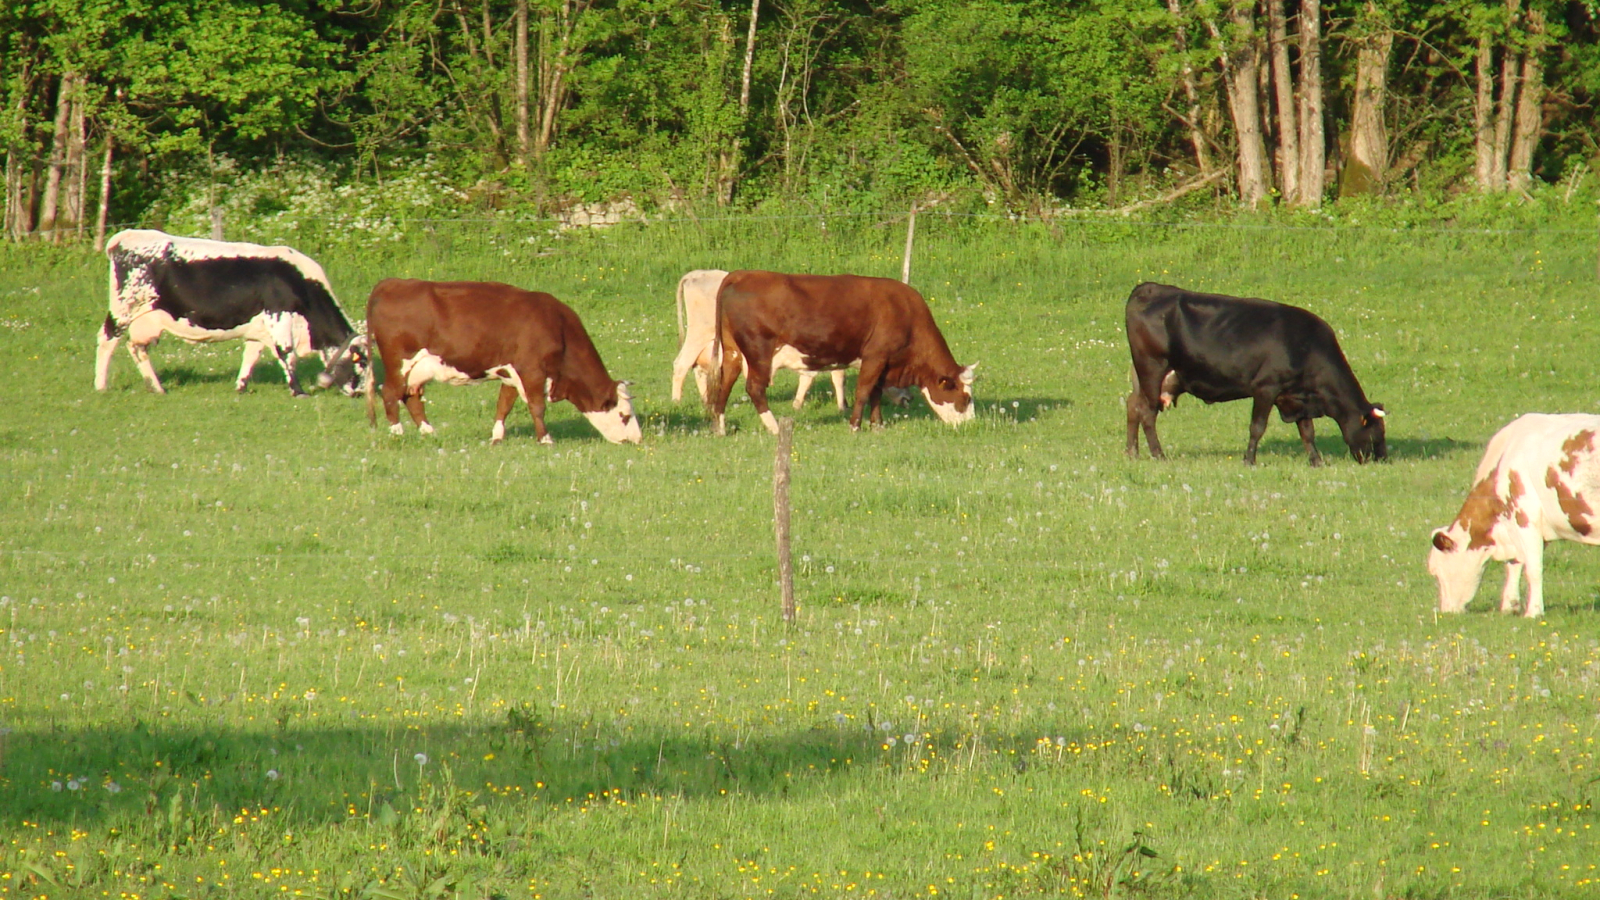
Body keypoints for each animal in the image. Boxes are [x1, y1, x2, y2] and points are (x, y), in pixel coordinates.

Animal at [96, 225, 366, 393]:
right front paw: (298, 391)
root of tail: (126, 235)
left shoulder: (258, 327)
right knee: (107, 339)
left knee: (136, 347)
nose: (360, 392)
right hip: (123, 308)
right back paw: (101, 386)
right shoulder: (278, 315)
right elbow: (286, 353)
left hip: (146, 319)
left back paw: (157, 388)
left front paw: (241, 387)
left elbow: (251, 355)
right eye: (361, 363)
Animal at [366, 273, 640, 441]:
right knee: (390, 393)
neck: (557, 327)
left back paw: (429, 432)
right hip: (398, 361)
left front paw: (497, 437)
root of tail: (391, 282)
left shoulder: (511, 373)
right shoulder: (532, 371)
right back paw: (398, 433)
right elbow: (537, 406)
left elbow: (504, 405)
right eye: (625, 415)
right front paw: (545, 439)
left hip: (419, 368)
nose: (637, 439)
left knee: (410, 396)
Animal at [710, 267, 972, 432]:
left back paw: (720, 427)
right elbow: (864, 391)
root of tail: (743, 274)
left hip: (733, 352)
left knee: (725, 383)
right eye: (966, 398)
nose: (971, 424)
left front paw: (877, 424)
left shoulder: (883, 362)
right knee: (754, 388)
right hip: (759, 351)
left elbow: (876, 391)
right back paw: (774, 427)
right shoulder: (875, 357)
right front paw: (855, 425)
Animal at [1126, 280, 1388, 461]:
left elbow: (1307, 432)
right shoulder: (1265, 388)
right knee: (1147, 412)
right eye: (1376, 433)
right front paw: (1249, 459)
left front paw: (1316, 461)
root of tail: (1149, 288)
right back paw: (1158, 455)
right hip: (1152, 367)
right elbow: (1257, 427)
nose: (1382, 459)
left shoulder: (1297, 395)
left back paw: (1132, 453)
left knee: (1133, 406)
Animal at [1427, 413, 1600, 614]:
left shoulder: (1524, 516)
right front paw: (1510, 605)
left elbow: (1533, 568)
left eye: (1436, 571)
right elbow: (1514, 564)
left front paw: (1533, 611)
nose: (1446, 612)